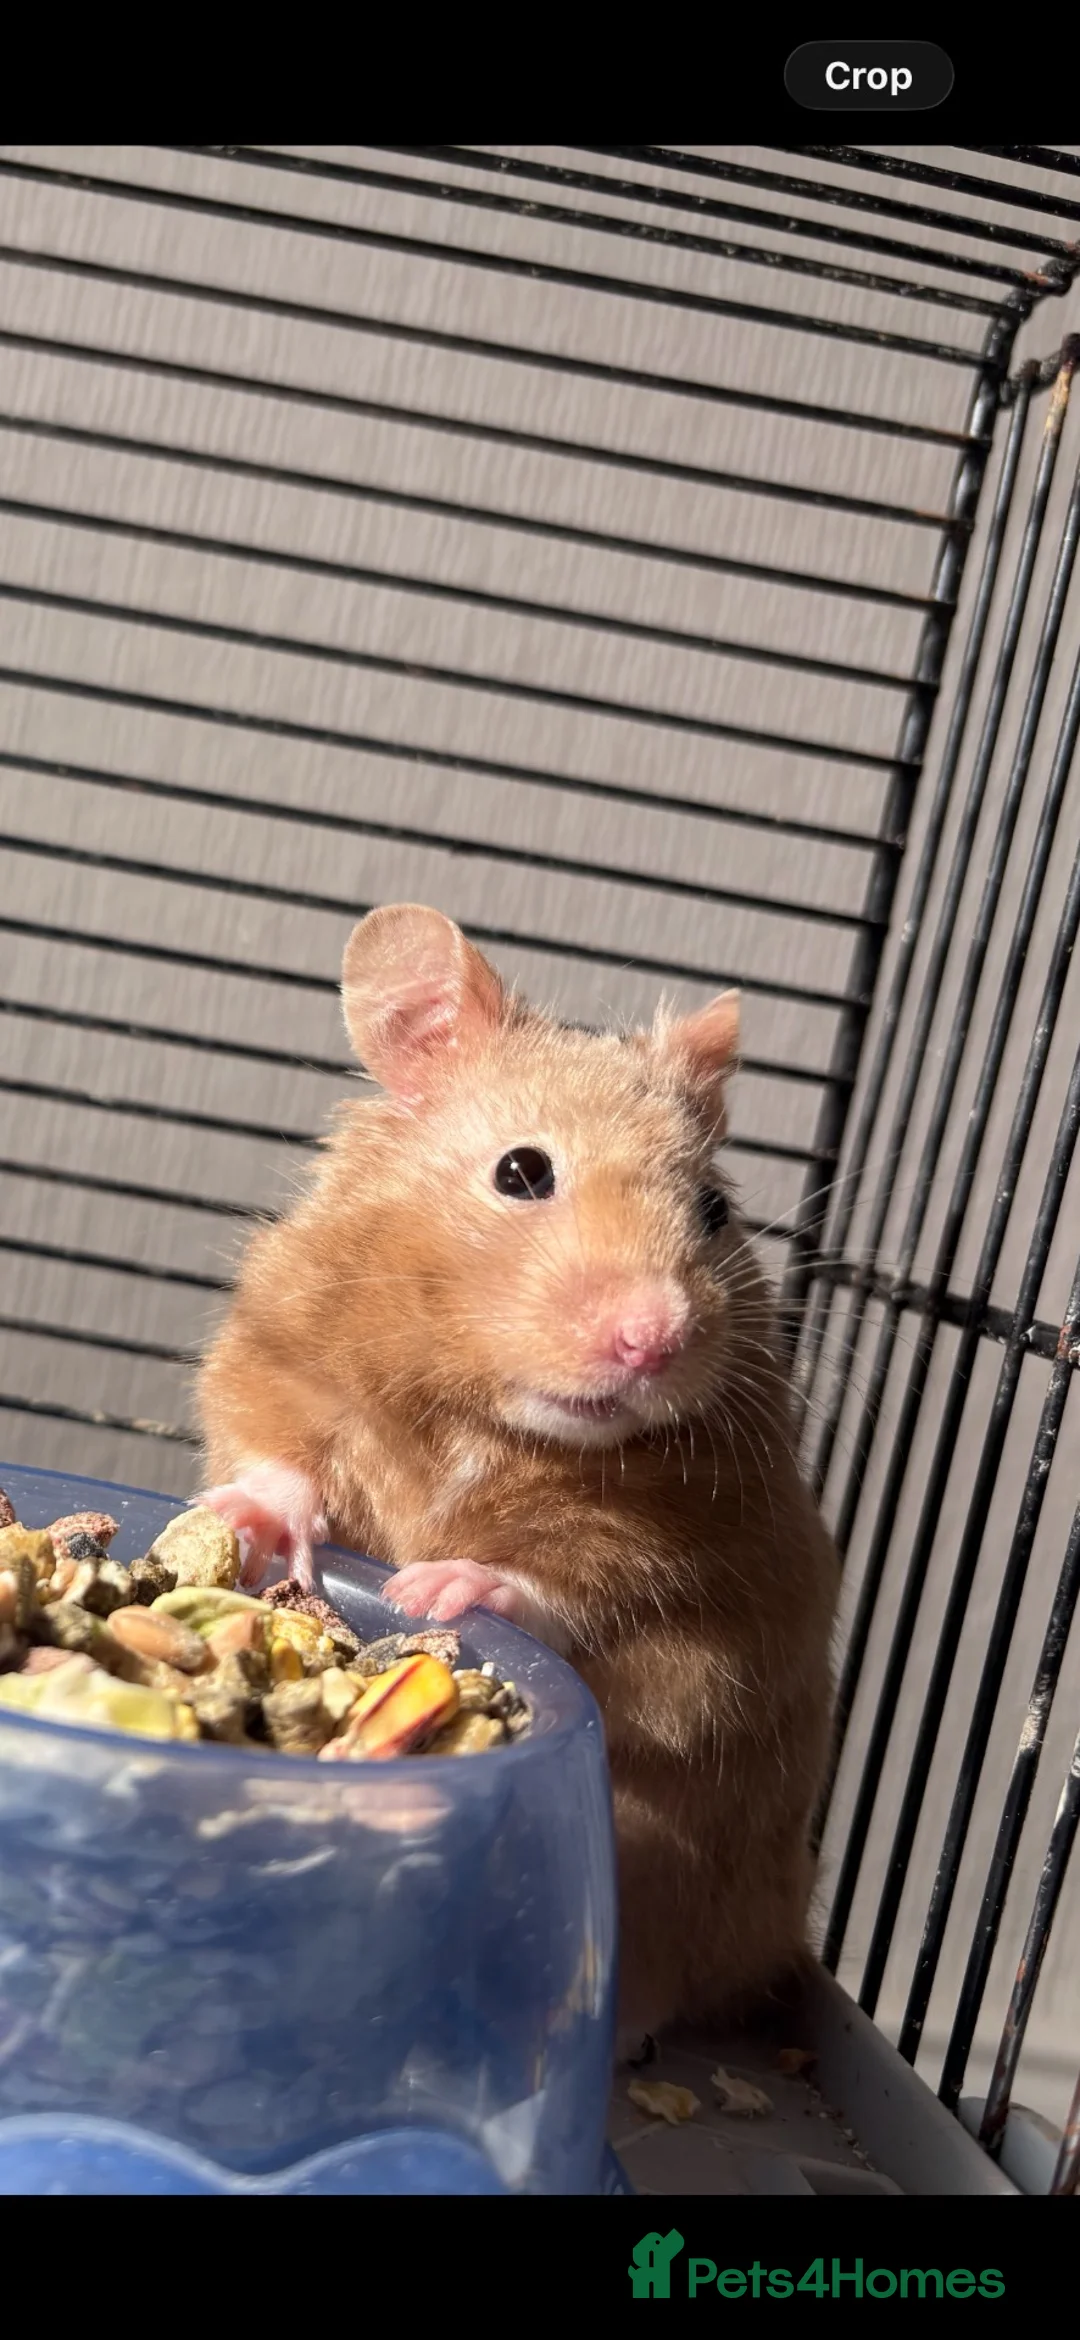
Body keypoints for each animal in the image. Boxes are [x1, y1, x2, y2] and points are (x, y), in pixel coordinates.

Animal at [196, 903, 839, 2038]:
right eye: (522, 1172)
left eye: (714, 1211)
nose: (654, 1340)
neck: (489, 1415)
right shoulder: (275, 1350)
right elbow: (273, 1446)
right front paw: (249, 1520)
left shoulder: (710, 1543)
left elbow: (584, 1589)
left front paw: (435, 1588)